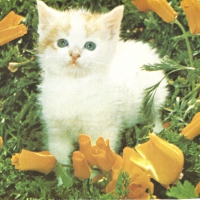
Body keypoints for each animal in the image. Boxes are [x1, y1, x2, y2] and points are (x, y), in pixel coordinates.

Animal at [36, 0, 168, 165]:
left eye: (90, 46)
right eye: (62, 43)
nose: (74, 54)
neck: (75, 84)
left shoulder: (104, 129)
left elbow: (99, 159)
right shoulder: (56, 131)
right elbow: (60, 159)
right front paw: (63, 171)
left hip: (156, 97)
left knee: (156, 117)